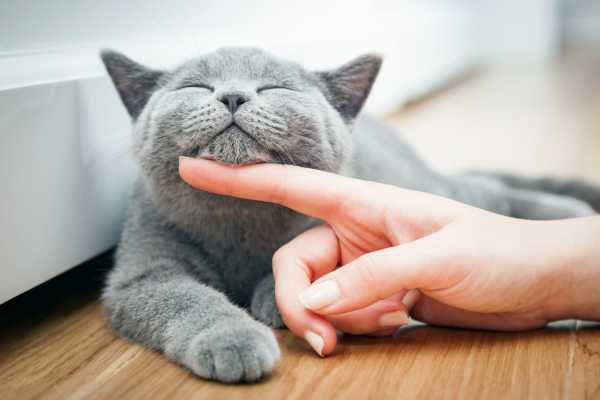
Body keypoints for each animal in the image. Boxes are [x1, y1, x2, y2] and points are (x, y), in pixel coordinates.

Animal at [101, 47, 596, 384]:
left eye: (276, 88)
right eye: (195, 87)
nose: (234, 95)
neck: (239, 218)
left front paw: (273, 298)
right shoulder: (144, 271)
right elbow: (186, 298)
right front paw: (233, 339)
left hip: (421, 186)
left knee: (484, 192)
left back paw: (567, 213)